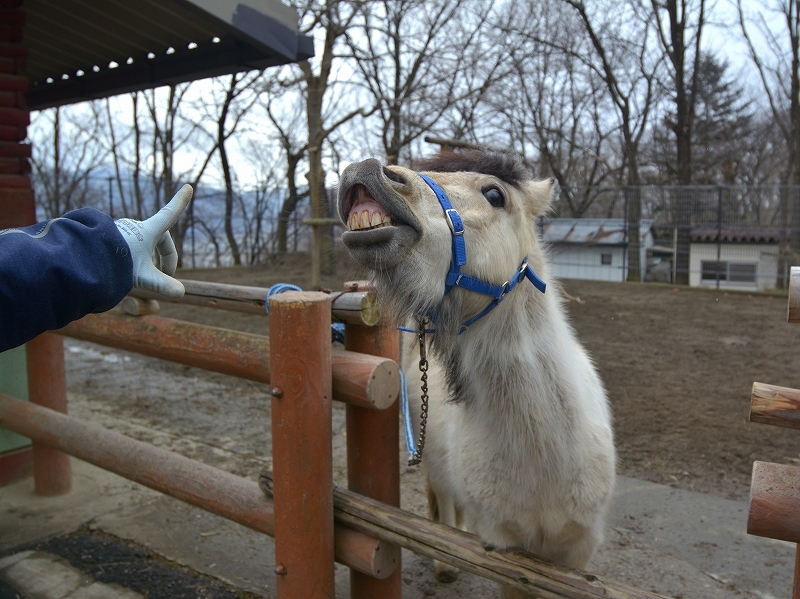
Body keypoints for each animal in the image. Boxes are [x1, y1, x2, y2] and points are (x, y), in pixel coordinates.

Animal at [334, 151, 616, 599]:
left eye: (495, 195)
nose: (362, 172)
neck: (544, 460)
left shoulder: (579, 552)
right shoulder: (510, 557)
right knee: (446, 502)